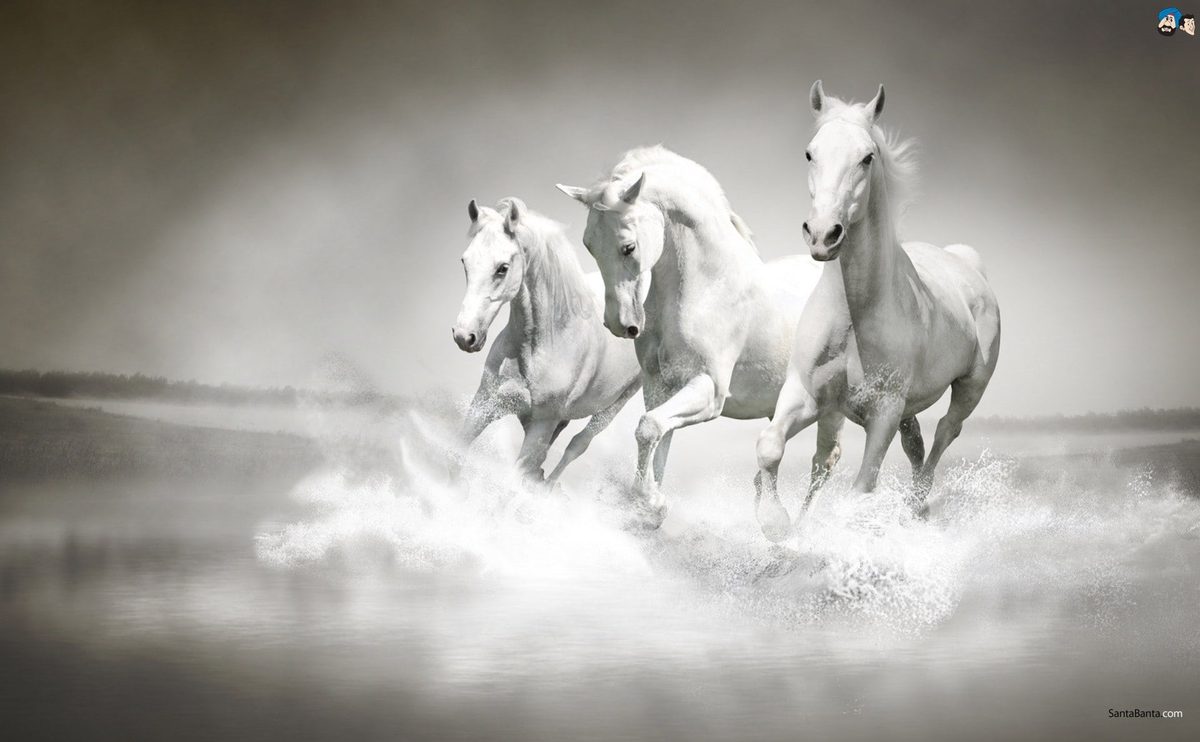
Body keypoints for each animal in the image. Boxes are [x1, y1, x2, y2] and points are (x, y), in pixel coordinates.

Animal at [452, 197, 641, 484]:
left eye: (502, 268)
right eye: (465, 261)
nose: (464, 336)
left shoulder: (541, 424)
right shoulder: (484, 404)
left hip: (616, 403)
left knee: (577, 444)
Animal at [556, 146, 838, 535]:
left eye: (628, 247)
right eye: (589, 245)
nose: (619, 324)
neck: (707, 287)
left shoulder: (709, 390)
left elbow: (648, 429)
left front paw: (652, 503)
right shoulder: (660, 387)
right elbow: (657, 436)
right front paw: (649, 508)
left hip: (831, 409)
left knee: (824, 463)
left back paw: (792, 531)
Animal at [754, 81, 1001, 539]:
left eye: (867, 157)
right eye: (810, 153)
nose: (823, 235)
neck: (855, 314)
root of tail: (968, 264)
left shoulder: (883, 412)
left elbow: (862, 488)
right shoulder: (806, 394)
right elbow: (770, 446)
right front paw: (776, 525)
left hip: (970, 387)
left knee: (945, 432)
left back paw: (917, 507)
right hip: (907, 408)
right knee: (915, 443)